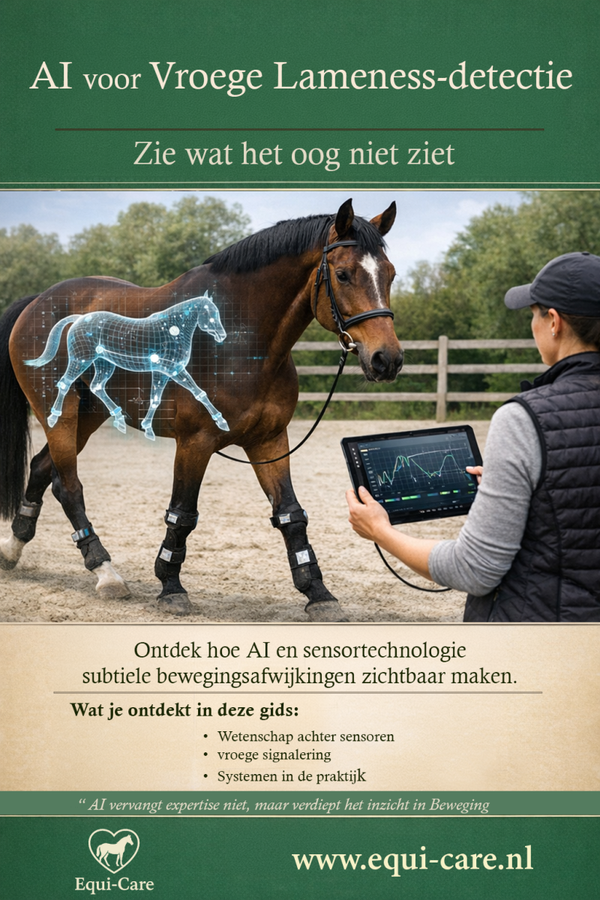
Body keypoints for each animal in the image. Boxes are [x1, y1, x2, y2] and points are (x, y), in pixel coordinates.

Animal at [0, 199, 402, 621]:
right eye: (342, 274)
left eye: (390, 274)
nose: (386, 360)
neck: (246, 343)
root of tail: (37, 302)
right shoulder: (195, 442)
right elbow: (183, 513)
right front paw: (171, 587)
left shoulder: (269, 441)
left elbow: (290, 514)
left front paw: (318, 593)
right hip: (60, 415)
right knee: (68, 485)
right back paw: (105, 572)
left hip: (86, 417)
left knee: (43, 470)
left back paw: (13, 549)